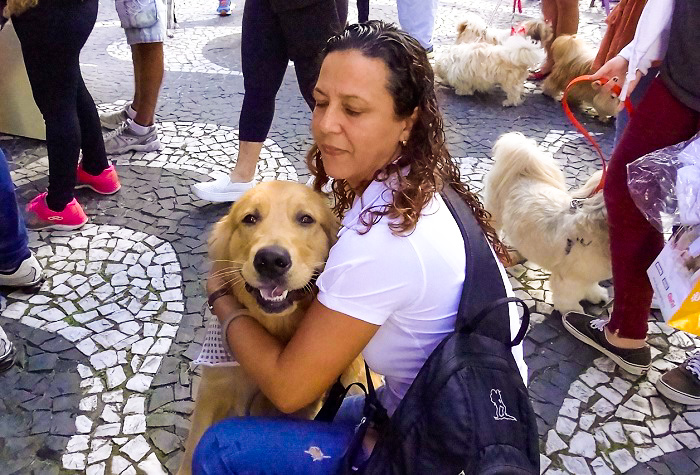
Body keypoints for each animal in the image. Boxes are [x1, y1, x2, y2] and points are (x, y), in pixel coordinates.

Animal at [484, 132, 608, 314]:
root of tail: (523, 171)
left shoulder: (587, 275)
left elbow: (591, 286)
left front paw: (596, 295)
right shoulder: (570, 279)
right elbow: (568, 298)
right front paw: (573, 312)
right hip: (495, 211)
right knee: (493, 226)